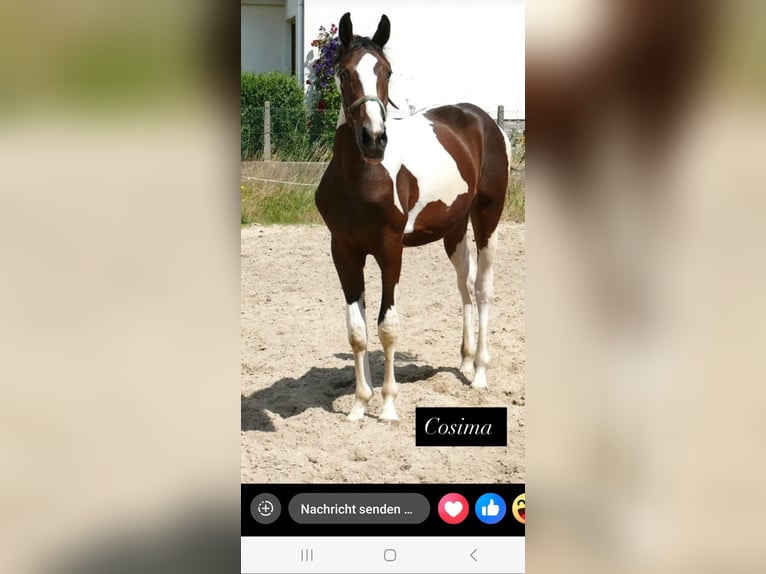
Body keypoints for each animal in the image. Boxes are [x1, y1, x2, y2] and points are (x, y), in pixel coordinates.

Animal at [315, 12, 511, 422]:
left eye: (386, 71)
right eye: (344, 73)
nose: (374, 139)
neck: (362, 178)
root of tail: (487, 122)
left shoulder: (391, 250)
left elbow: (387, 326)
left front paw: (388, 405)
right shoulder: (344, 251)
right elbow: (357, 330)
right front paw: (360, 403)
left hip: (488, 218)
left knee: (483, 289)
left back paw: (480, 372)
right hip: (454, 228)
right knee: (465, 286)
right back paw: (465, 361)